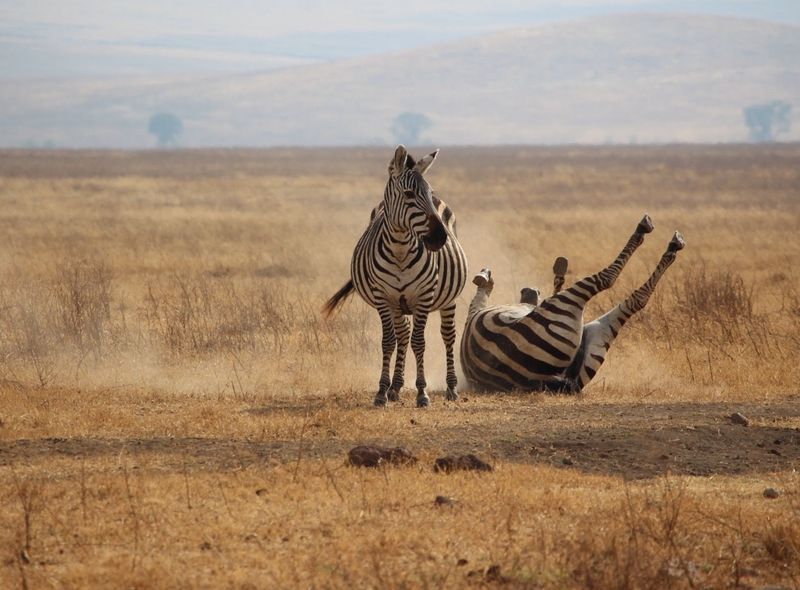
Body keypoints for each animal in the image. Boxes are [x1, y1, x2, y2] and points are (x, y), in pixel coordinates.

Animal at [323, 146, 468, 407]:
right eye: (409, 194)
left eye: (430, 193)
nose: (440, 238)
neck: (400, 249)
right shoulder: (383, 297)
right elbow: (388, 341)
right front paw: (382, 391)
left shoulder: (423, 297)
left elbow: (419, 342)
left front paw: (422, 393)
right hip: (399, 305)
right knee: (402, 335)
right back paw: (396, 387)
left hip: (447, 299)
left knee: (448, 336)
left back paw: (451, 388)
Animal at [461, 214, 685, 393]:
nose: (529, 291)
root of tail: (543, 380)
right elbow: (479, 298)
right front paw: (485, 279)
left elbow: (480, 298)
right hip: (567, 309)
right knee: (609, 280)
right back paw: (654, 236)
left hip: (593, 345)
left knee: (632, 301)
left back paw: (671, 247)